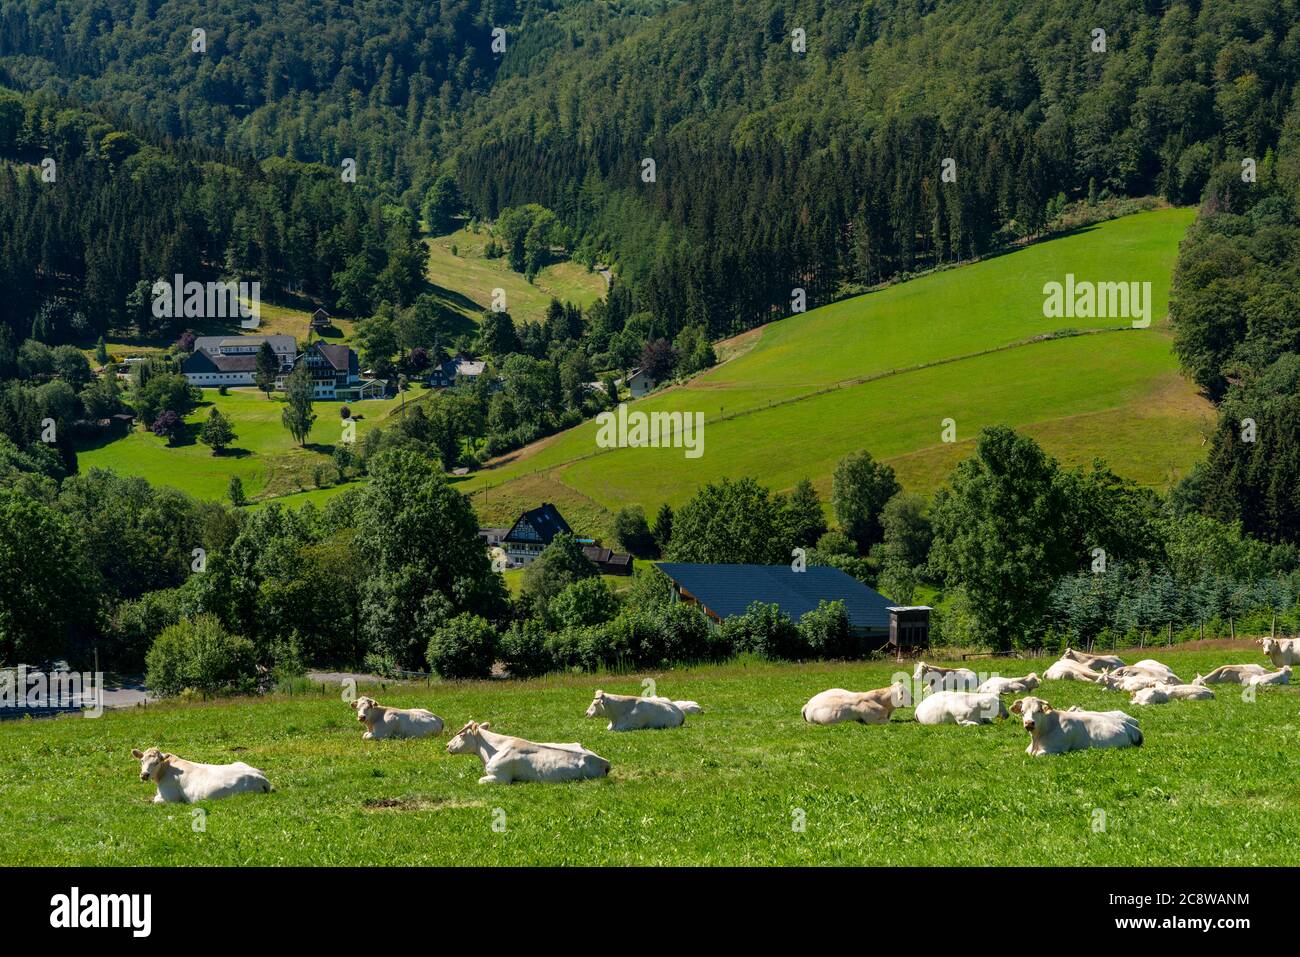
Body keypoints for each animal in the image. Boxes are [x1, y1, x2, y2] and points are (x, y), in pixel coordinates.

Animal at [130, 743, 270, 806]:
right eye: (142, 761)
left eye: (157, 762)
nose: (144, 775)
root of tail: (260, 777)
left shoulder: (170, 798)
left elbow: (155, 800)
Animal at [1008, 696, 1144, 754]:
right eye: (1022, 712)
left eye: (1039, 710)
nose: (1029, 723)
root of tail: (1126, 724)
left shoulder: (1057, 749)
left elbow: (1037, 754)